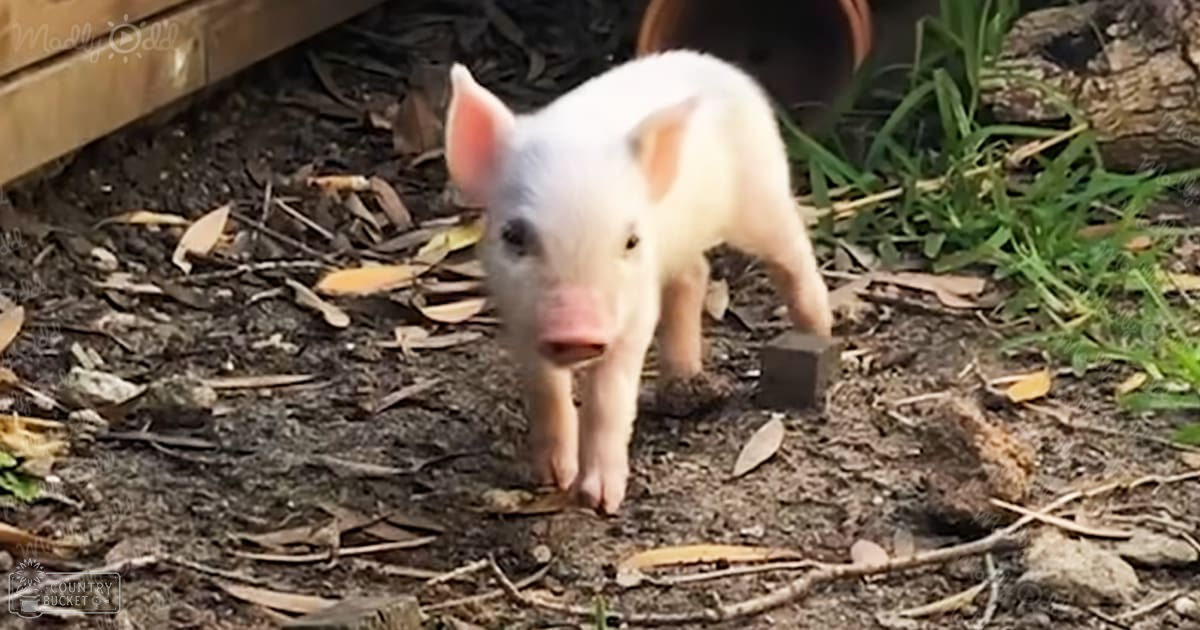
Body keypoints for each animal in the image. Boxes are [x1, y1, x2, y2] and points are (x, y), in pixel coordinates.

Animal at [443, 50, 832, 514]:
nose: (576, 330)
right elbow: (544, 389)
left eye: (630, 240)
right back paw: (682, 382)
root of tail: (718, 65)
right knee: (696, 273)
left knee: (792, 251)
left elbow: (609, 397)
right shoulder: (516, 315)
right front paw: (552, 479)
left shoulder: (637, 313)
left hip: (762, 195)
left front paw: (600, 502)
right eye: (513, 236)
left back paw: (820, 331)